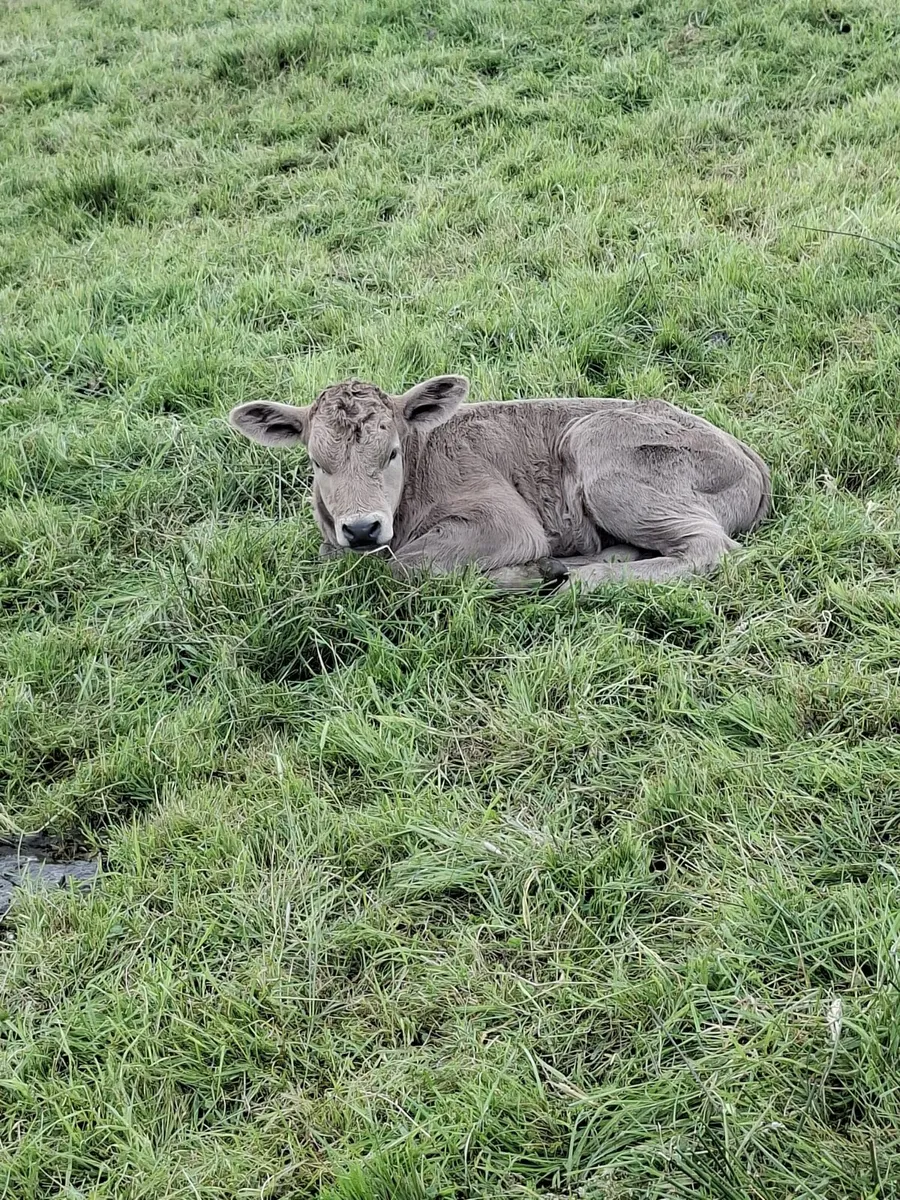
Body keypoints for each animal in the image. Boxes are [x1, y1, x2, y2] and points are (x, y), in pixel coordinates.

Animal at [229, 375, 770, 592]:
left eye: (392, 453)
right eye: (317, 462)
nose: (362, 528)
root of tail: (747, 456)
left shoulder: (503, 523)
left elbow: (404, 567)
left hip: (602, 456)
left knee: (709, 548)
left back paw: (578, 579)